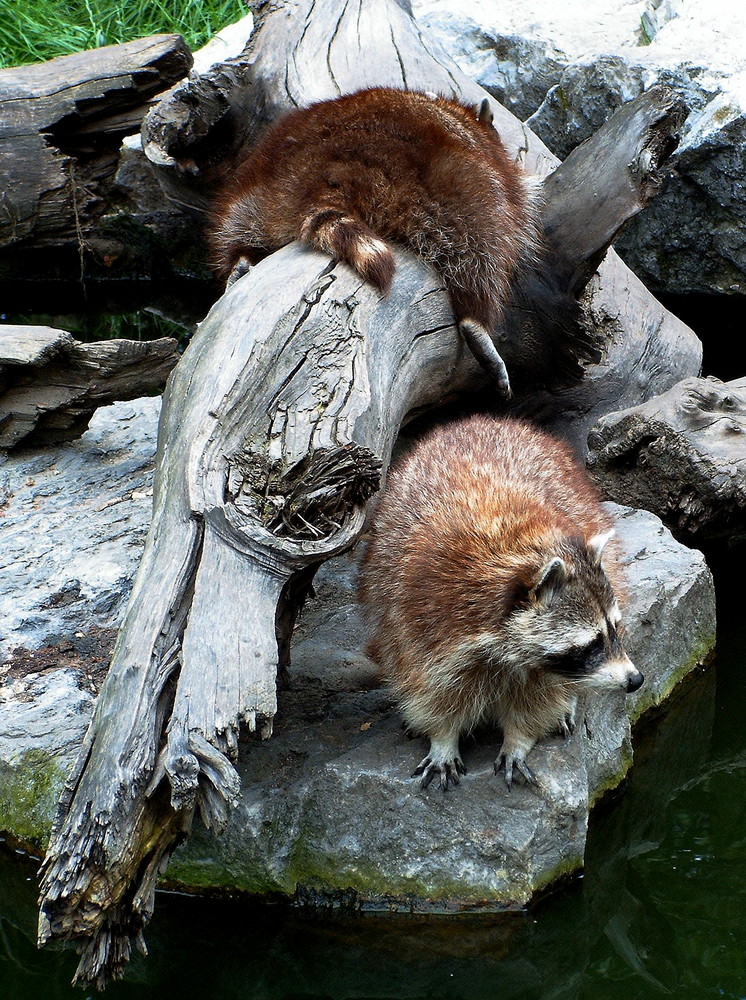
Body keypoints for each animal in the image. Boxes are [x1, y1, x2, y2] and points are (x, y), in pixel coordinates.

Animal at [206, 86, 536, 396]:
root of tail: (330, 168)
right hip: (456, 185)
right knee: (484, 245)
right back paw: (475, 319)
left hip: (259, 186)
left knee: (237, 225)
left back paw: (240, 259)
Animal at [358, 414, 644, 788]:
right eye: (592, 643)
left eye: (615, 629)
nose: (635, 679)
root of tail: (482, 420)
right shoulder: (420, 615)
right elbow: (430, 688)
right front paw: (442, 737)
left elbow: (538, 697)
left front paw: (519, 738)